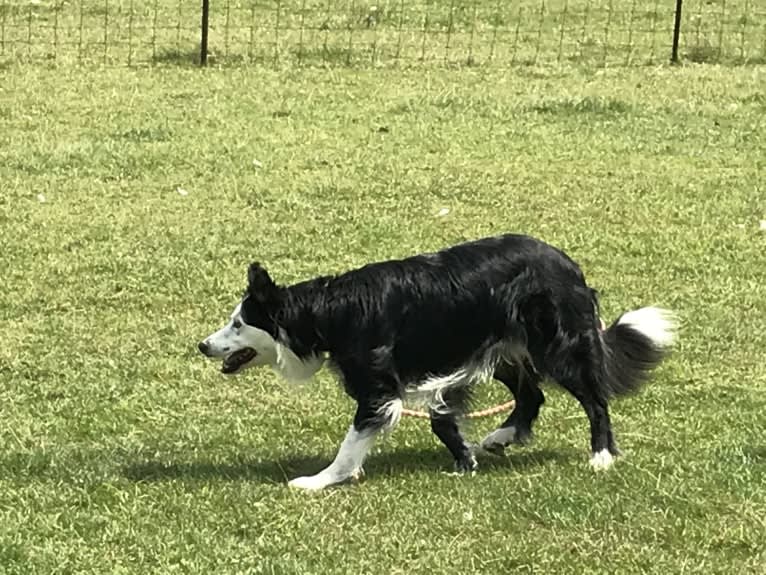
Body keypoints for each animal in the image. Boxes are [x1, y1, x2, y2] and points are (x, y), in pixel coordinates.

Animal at [198, 234, 680, 490]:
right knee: (531, 394)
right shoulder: (452, 365)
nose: (203, 345)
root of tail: (569, 265)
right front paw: (464, 459)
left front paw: (321, 479)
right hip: (503, 348)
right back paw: (503, 436)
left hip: (558, 347)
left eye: (238, 323)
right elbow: (441, 418)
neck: (327, 312)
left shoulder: (379, 388)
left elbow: (352, 441)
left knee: (595, 400)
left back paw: (601, 455)